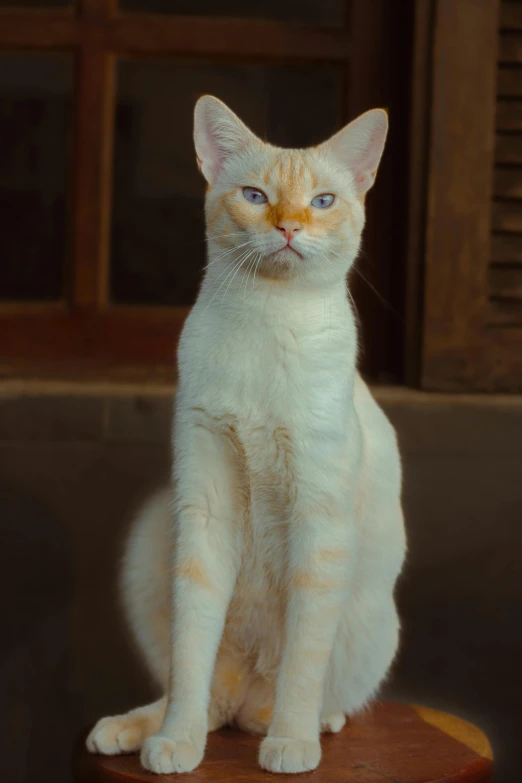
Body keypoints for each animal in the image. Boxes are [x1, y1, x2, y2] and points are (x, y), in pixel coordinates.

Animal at [85, 95, 404, 776]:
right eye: (256, 196)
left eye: (322, 202)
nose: (288, 228)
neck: (267, 315)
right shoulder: (205, 511)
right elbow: (191, 657)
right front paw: (175, 745)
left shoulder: (318, 524)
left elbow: (302, 662)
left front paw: (291, 744)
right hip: (152, 538)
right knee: (209, 698)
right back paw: (135, 732)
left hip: (373, 622)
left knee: (272, 701)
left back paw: (304, 725)